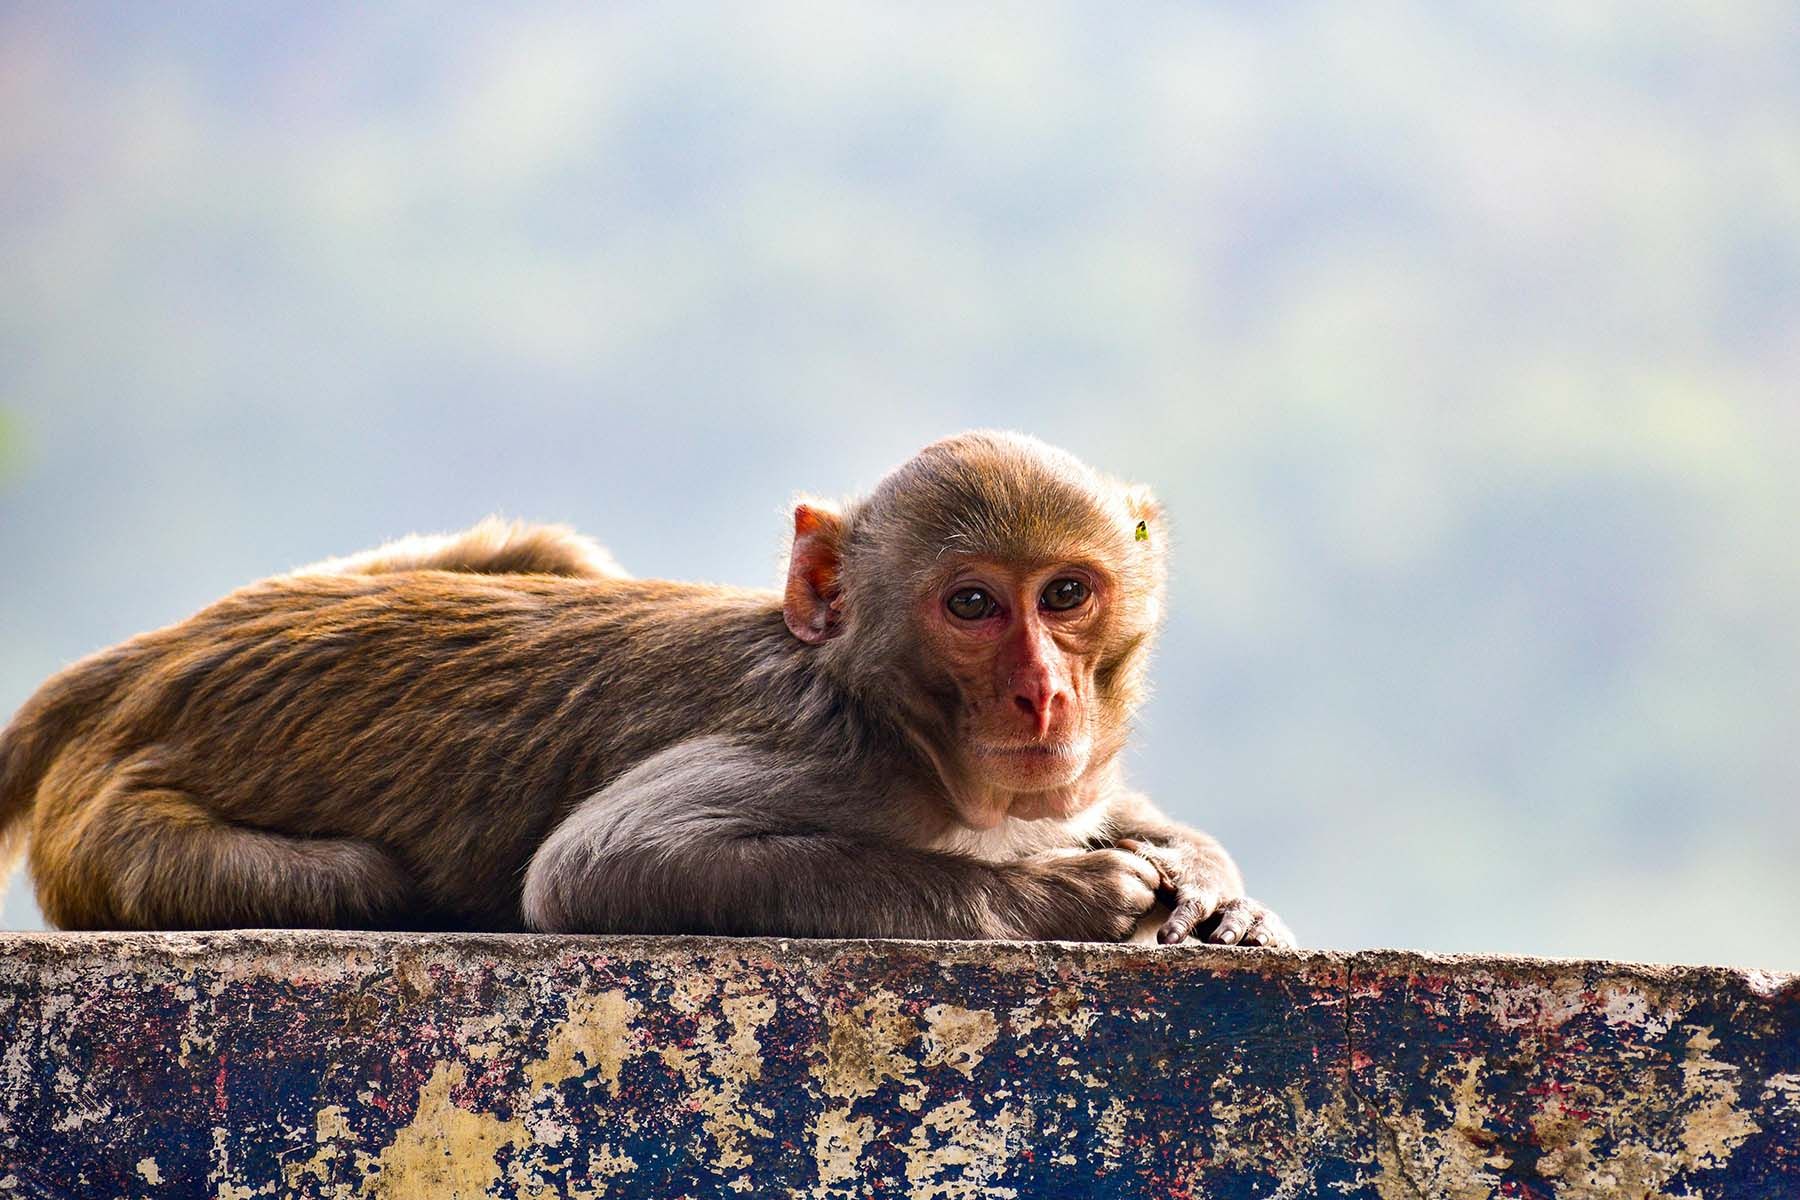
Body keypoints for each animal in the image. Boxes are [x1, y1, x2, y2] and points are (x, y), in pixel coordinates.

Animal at [0, 432, 1294, 948]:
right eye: (973, 606)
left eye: (1066, 594)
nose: (1041, 699)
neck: (895, 726)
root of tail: (148, 662)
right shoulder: (824, 760)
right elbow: (598, 867)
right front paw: (1073, 897)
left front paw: (1212, 884)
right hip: (111, 838)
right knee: (359, 880)